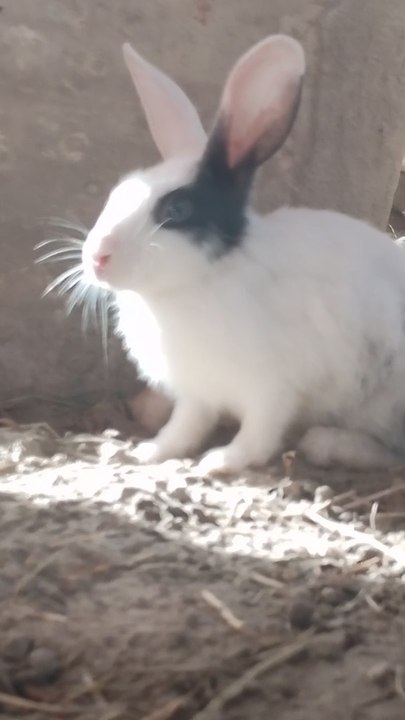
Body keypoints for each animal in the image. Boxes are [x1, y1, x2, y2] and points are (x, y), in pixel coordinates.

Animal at [80, 34, 405, 475]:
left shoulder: (272, 389)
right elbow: (187, 425)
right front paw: (152, 450)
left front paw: (220, 461)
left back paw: (326, 444)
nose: (96, 258)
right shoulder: (196, 391)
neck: (202, 280)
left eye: (176, 210)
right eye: (120, 190)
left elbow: (259, 433)